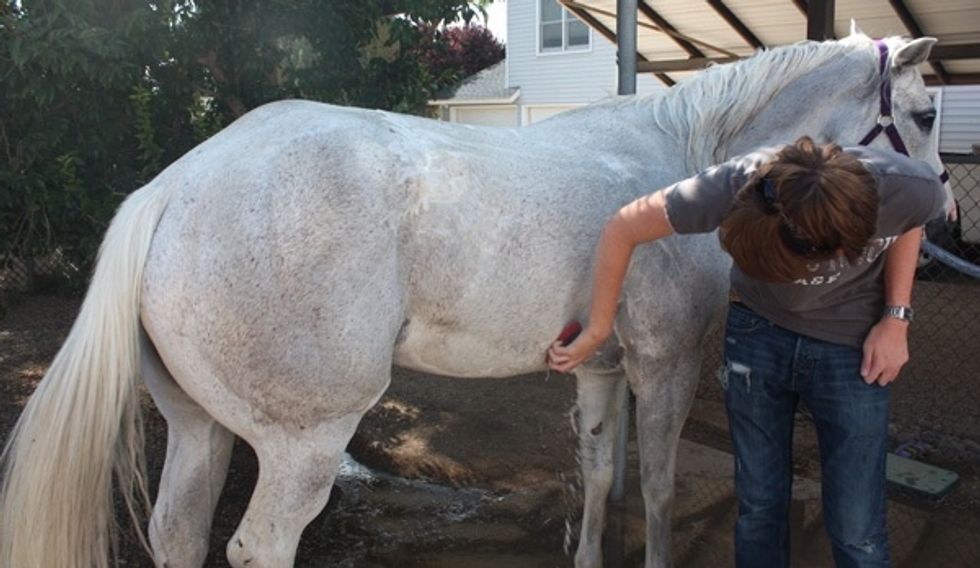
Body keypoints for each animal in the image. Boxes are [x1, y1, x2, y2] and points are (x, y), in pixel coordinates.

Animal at [0, 31, 947, 568]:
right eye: (931, 113)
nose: (940, 208)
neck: (687, 156)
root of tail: (172, 188)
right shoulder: (666, 366)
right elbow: (658, 489)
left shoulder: (600, 371)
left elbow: (601, 478)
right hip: (303, 444)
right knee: (260, 545)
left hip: (198, 428)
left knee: (180, 535)